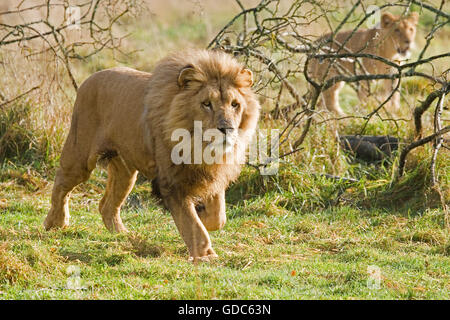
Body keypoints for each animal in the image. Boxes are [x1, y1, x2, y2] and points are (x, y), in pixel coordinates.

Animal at [43, 49, 260, 260]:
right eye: (206, 104)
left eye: (234, 104)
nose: (227, 128)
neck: (200, 146)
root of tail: (89, 78)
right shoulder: (171, 183)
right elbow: (193, 225)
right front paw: (205, 255)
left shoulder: (213, 176)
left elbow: (218, 217)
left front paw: (203, 217)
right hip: (80, 156)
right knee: (61, 183)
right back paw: (55, 222)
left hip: (125, 172)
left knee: (106, 205)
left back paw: (124, 235)